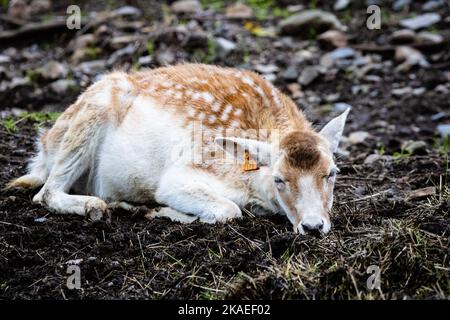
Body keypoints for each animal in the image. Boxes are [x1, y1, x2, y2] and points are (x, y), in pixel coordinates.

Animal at [8, 64, 350, 235]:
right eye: (279, 178)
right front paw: (158, 211)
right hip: (91, 113)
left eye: (332, 173)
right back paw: (100, 207)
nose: (313, 226)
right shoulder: (183, 174)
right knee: (45, 193)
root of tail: (44, 147)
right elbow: (228, 210)